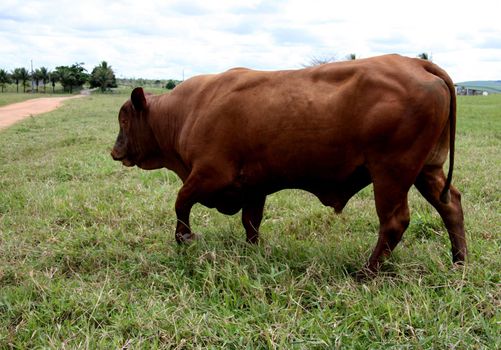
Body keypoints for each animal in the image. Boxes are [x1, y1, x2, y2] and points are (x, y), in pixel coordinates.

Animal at [111, 54, 466, 274]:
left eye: (124, 120)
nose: (115, 151)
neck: (188, 110)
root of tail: (417, 63)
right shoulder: (253, 187)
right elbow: (250, 223)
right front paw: (254, 252)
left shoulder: (210, 174)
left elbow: (181, 202)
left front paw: (184, 239)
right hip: (426, 171)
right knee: (451, 207)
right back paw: (459, 263)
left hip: (391, 175)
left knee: (394, 222)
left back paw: (365, 273)